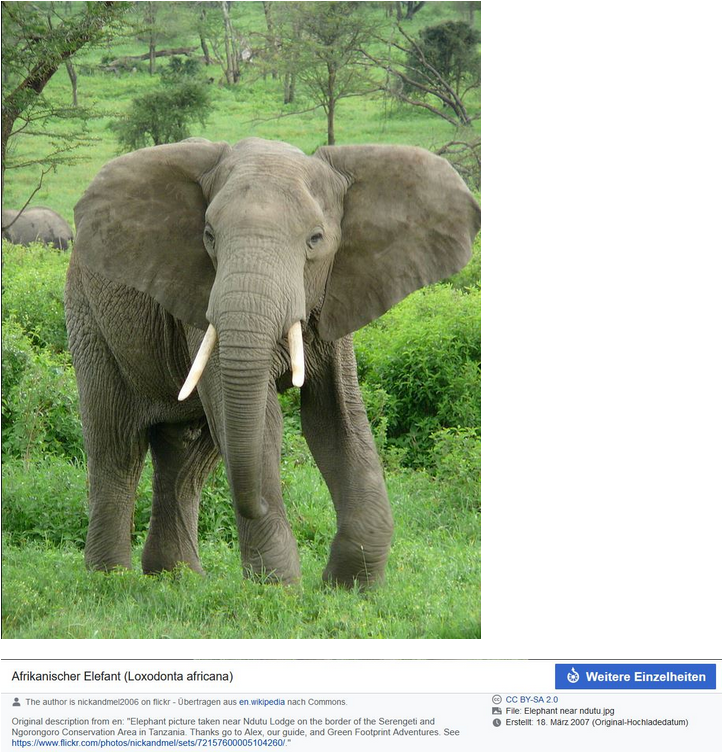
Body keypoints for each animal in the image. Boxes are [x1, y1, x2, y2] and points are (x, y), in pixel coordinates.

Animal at [64, 136, 480, 588]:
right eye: (209, 236)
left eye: (315, 239)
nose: (259, 504)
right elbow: (263, 422)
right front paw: (278, 589)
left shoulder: (336, 295)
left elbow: (337, 418)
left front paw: (348, 588)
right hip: (88, 316)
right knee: (116, 444)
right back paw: (110, 579)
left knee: (187, 459)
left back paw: (179, 578)